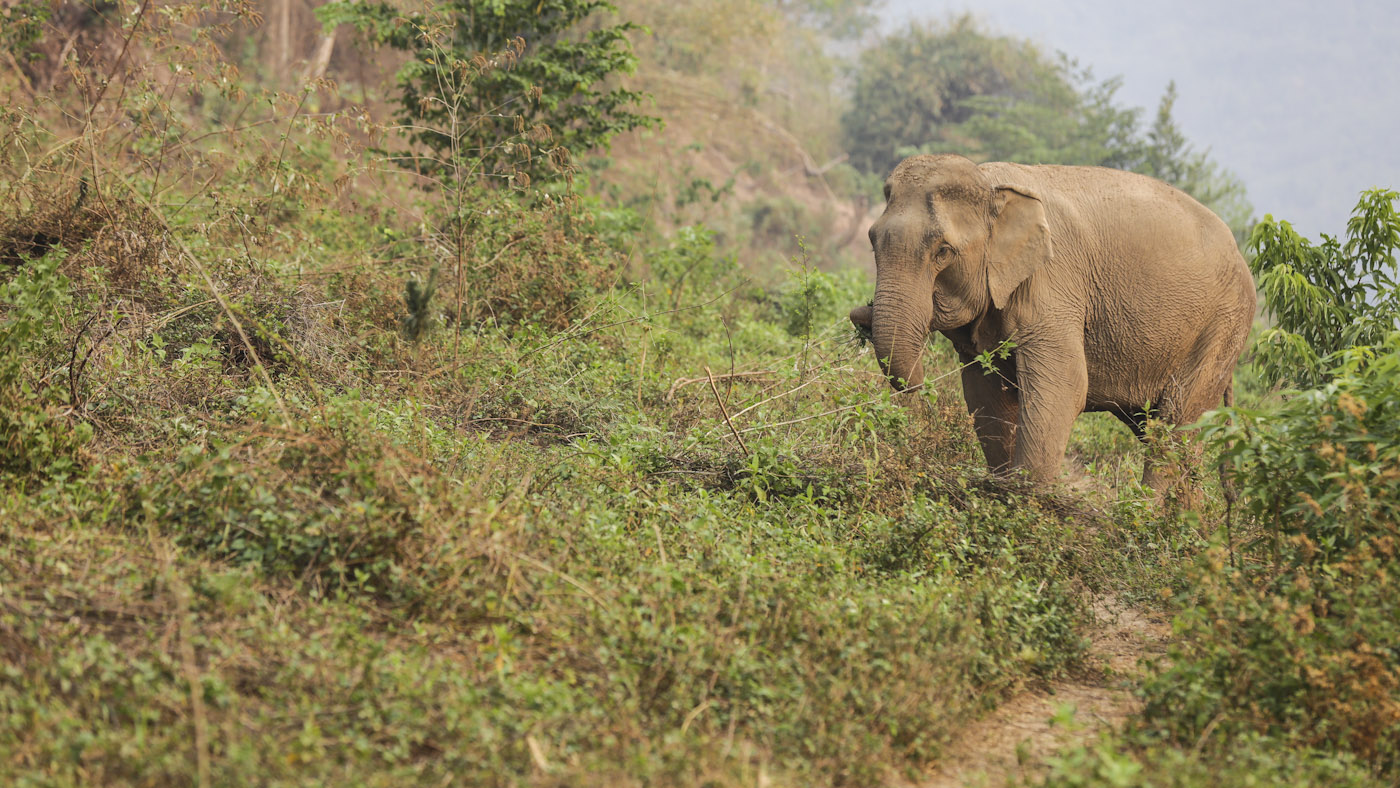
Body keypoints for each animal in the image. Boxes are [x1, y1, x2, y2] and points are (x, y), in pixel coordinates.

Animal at [851, 153, 1260, 487]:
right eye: (871, 240)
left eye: (943, 252)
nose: (861, 317)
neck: (990, 183)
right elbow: (986, 396)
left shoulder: (1053, 284)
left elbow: (1063, 387)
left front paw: (1026, 502)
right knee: (1158, 430)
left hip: (1222, 327)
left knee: (1174, 424)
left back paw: (1148, 519)